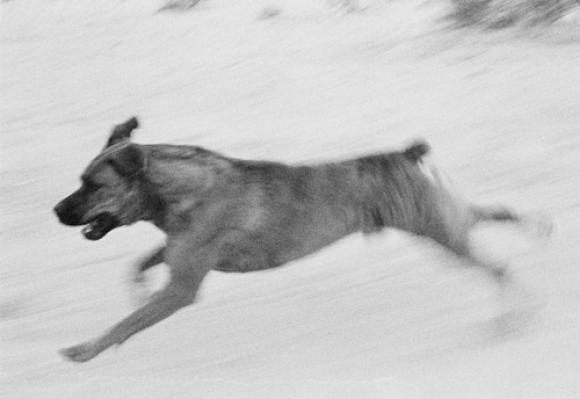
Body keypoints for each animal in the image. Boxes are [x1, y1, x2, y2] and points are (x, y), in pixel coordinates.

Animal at [53, 117, 548, 364]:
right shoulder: (177, 255)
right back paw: (532, 222)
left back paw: (509, 318)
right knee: (480, 215)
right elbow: (137, 268)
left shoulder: (182, 286)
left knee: (497, 266)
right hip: (440, 220)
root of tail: (405, 155)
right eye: (81, 180)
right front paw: (135, 290)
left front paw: (85, 350)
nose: (57, 211)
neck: (176, 190)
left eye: (93, 185)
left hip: (437, 231)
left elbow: (125, 323)